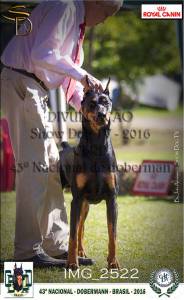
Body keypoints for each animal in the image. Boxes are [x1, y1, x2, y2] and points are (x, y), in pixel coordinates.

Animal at [59, 78, 119, 270]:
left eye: (106, 102)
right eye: (92, 103)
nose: (102, 115)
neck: (96, 146)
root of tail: (65, 146)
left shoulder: (112, 198)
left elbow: (112, 233)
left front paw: (113, 262)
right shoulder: (76, 199)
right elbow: (71, 234)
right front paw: (71, 263)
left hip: (85, 205)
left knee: (81, 229)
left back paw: (82, 253)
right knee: (76, 228)